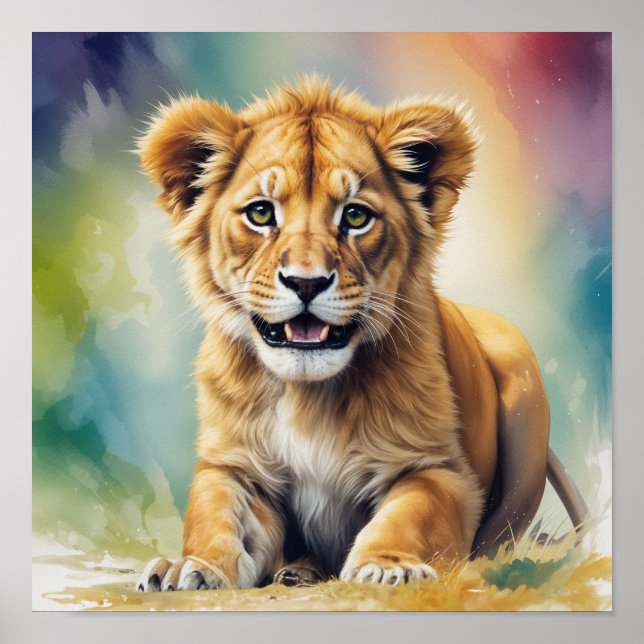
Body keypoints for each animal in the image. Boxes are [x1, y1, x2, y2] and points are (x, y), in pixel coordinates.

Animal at [136, 78, 586, 591]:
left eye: (354, 217)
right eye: (260, 213)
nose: (306, 282)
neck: (307, 395)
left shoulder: (438, 468)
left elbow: (409, 514)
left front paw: (388, 567)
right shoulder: (234, 465)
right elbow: (214, 514)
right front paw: (191, 566)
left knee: (503, 534)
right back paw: (297, 571)